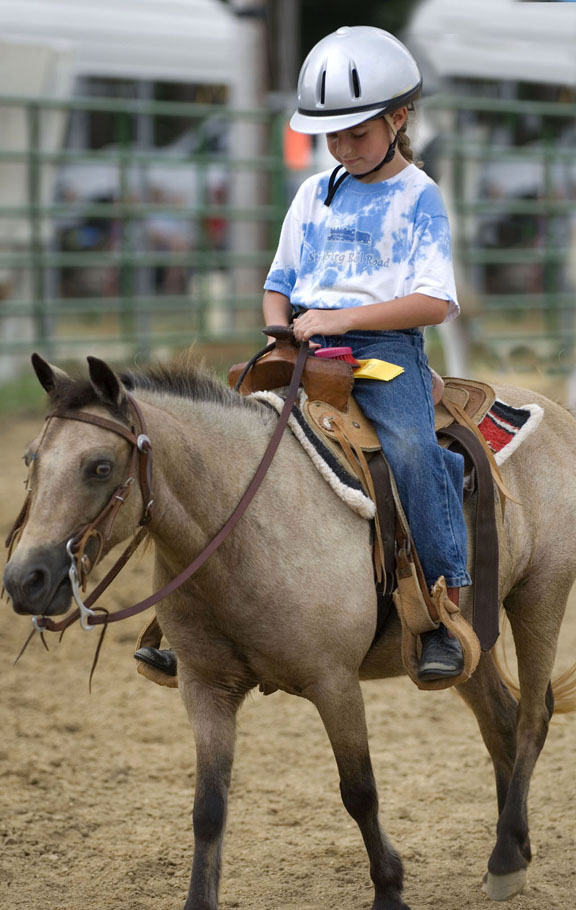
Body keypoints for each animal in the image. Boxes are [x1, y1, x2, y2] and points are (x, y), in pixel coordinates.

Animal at [4, 354, 576, 910]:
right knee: (499, 723)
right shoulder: (203, 686)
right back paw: (512, 846)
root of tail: (553, 409)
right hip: (468, 643)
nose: (24, 579)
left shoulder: (334, 683)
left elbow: (359, 791)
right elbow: (208, 808)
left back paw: (505, 860)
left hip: (539, 594)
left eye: (100, 466)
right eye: (31, 459)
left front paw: (389, 891)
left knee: (532, 716)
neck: (248, 525)